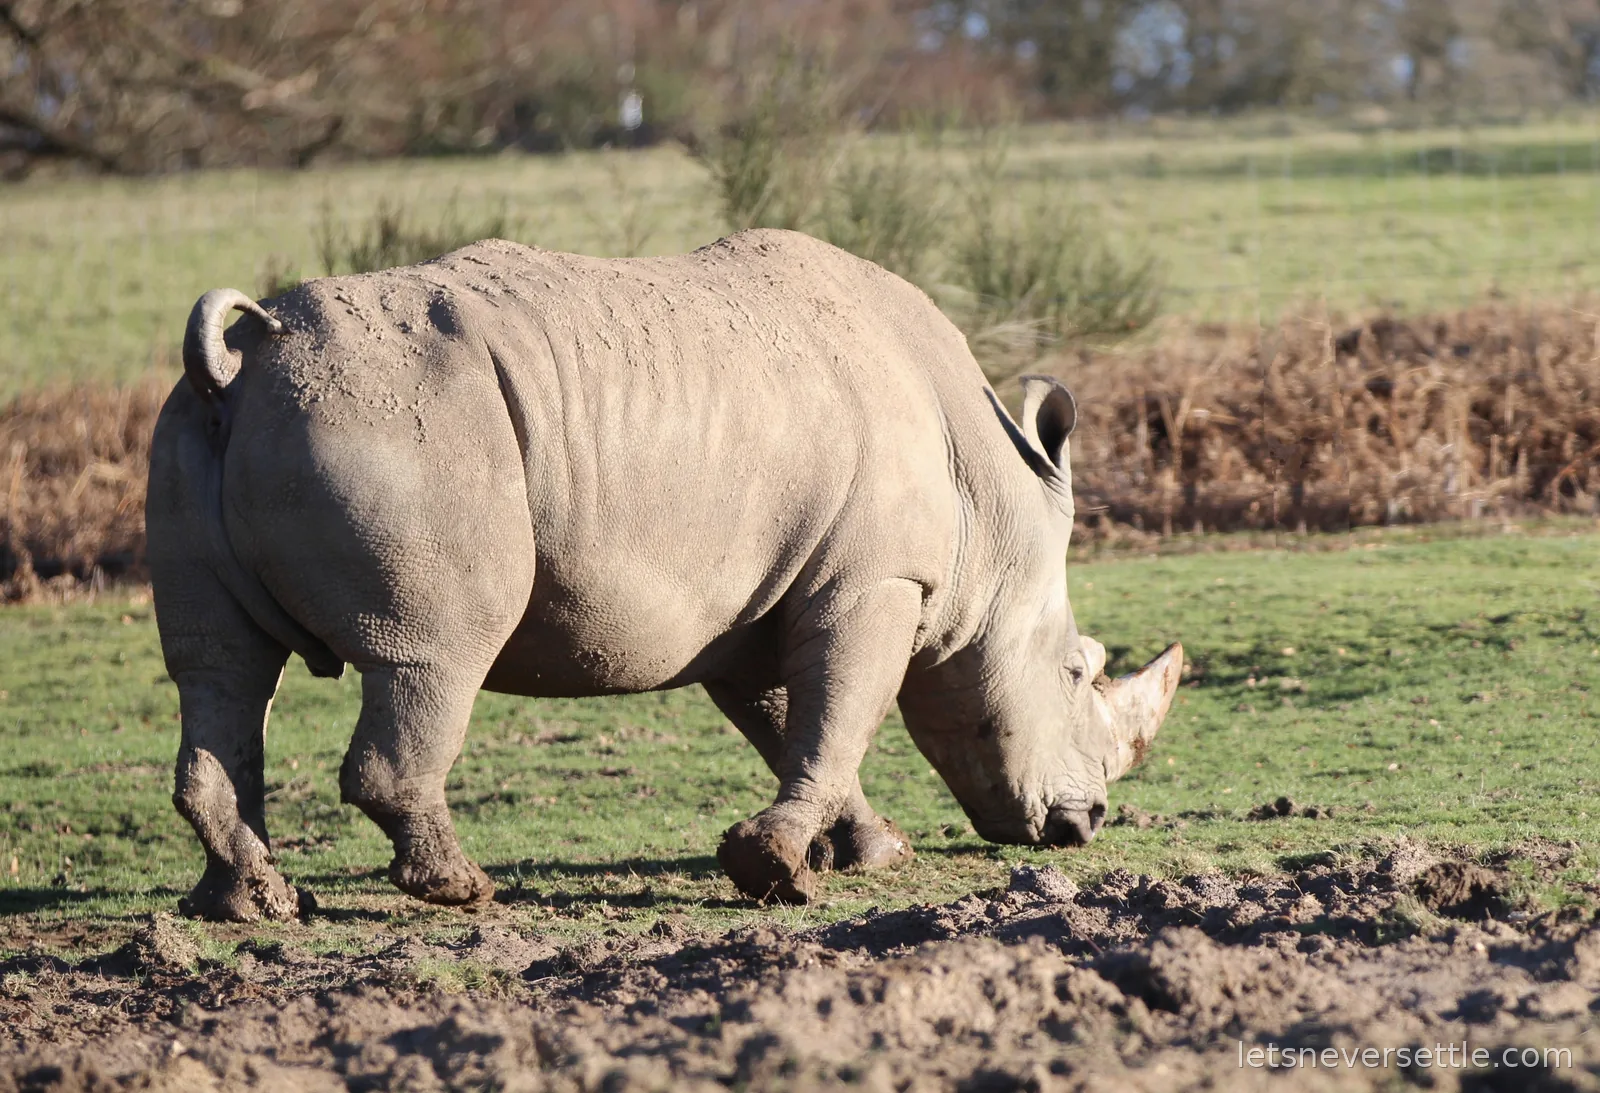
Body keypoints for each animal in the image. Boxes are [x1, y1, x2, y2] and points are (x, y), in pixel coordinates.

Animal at [147, 229, 1182, 921]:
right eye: (1079, 670)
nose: (1088, 822)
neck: (990, 507)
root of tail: (243, 358)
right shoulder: (878, 580)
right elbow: (839, 713)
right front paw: (777, 871)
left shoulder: (759, 600)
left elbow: (793, 720)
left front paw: (872, 851)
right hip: (401, 428)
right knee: (431, 656)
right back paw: (463, 889)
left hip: (197, 434)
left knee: (220, 672)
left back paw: (251, 905)